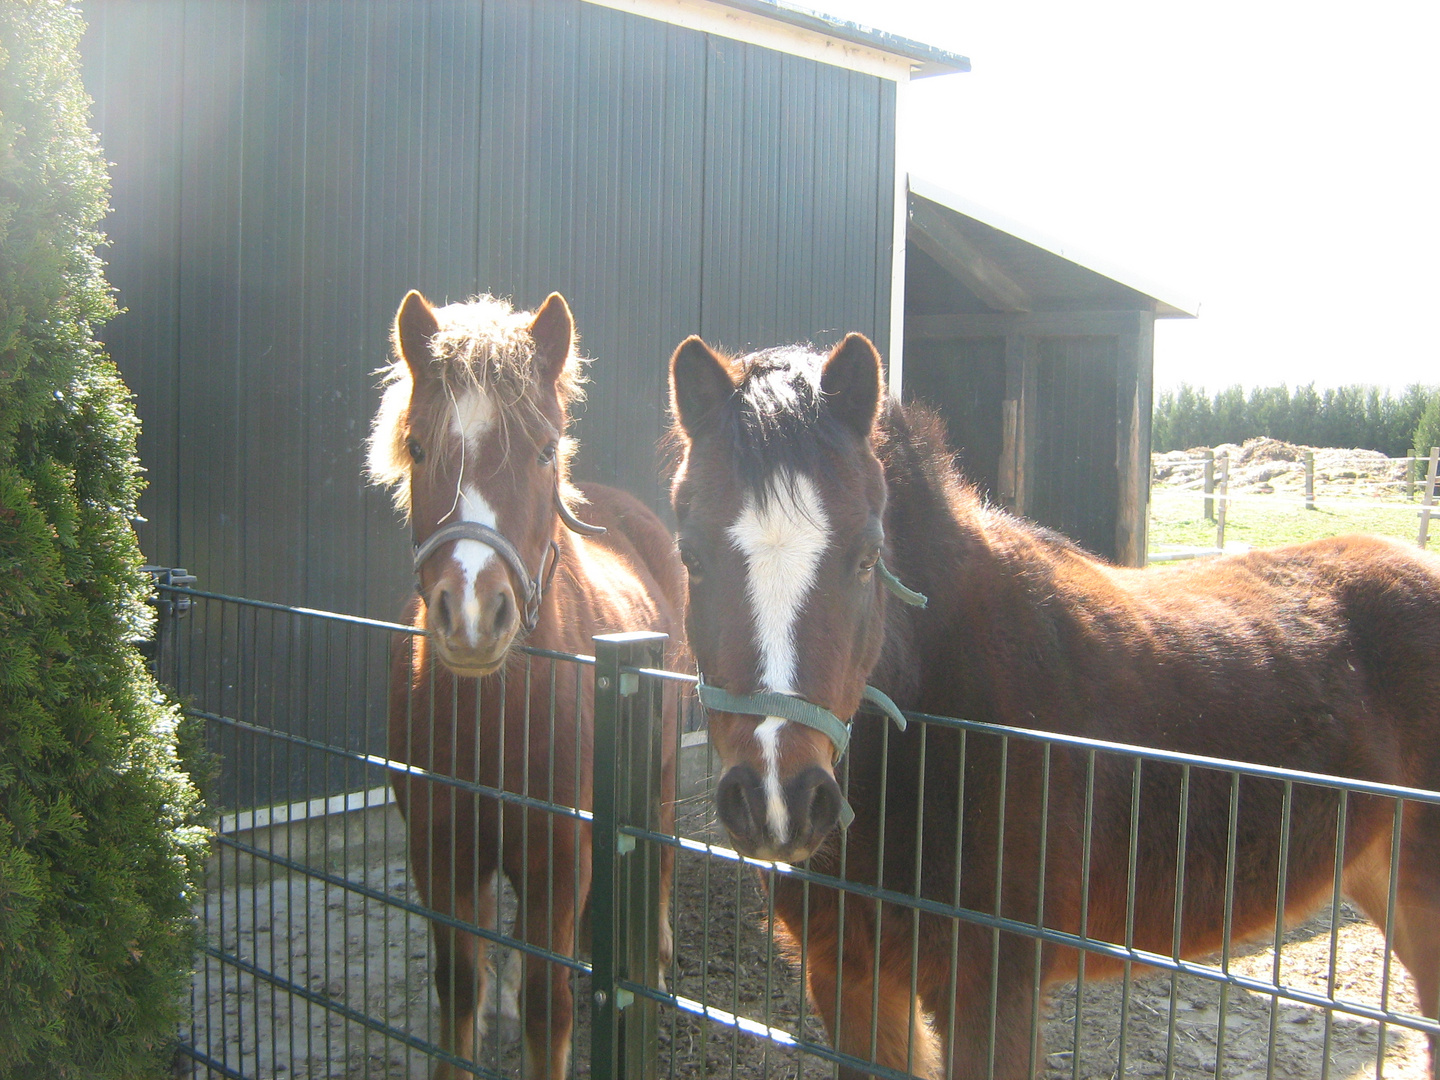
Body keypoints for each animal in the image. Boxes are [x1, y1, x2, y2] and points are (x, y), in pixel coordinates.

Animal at [371, 292, 685, 1077]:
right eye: (417, 447)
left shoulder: (557, 861)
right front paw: (484, 1005)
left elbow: (552, 1003)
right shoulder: (441, 853)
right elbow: (455, 985)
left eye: (545, 450)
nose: (472, 614)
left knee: (662, 849)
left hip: (661, 770)